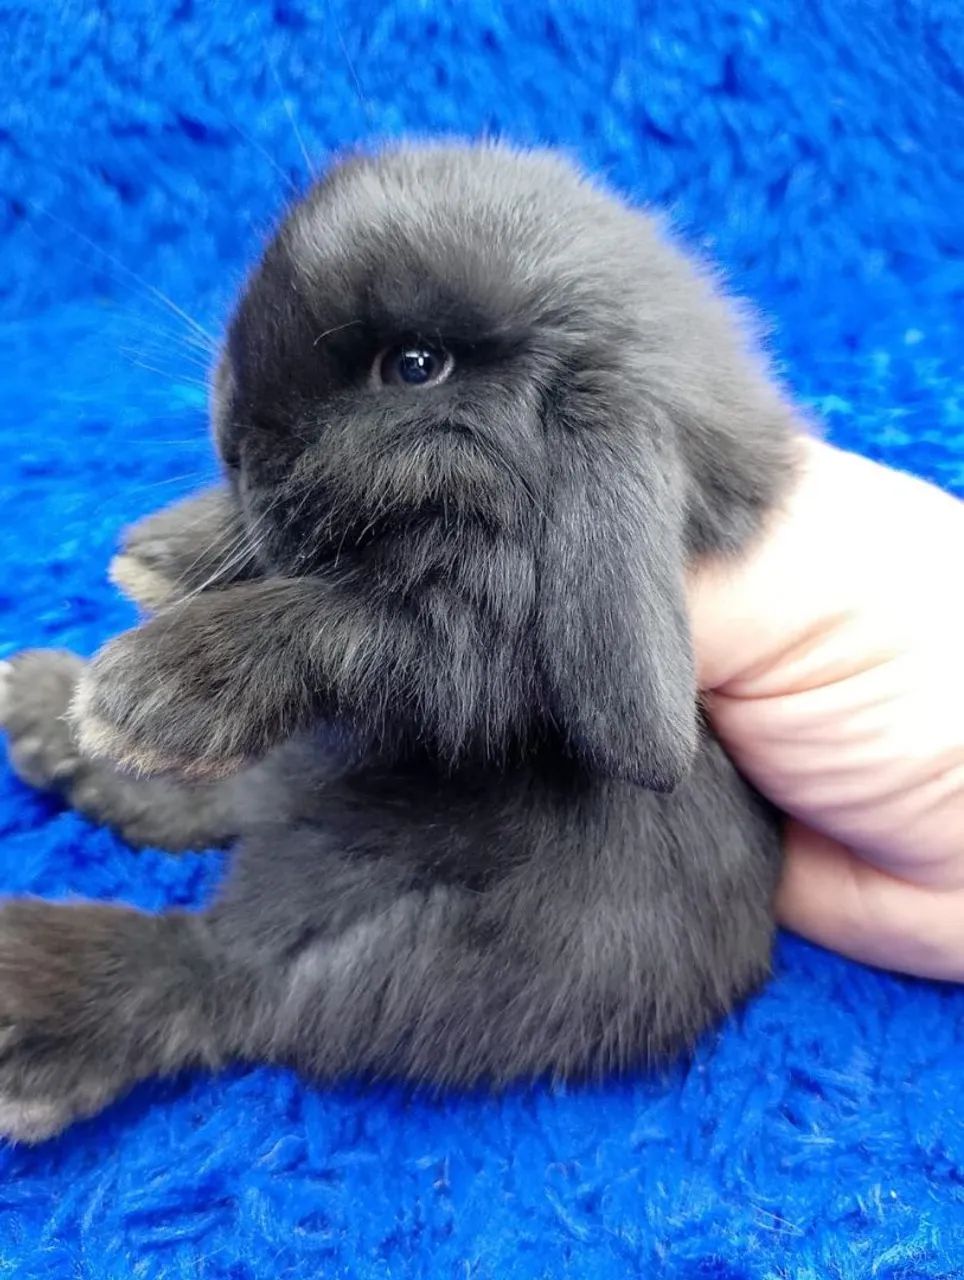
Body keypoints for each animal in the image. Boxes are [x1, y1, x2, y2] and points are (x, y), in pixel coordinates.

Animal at [0, 141, 801, 1142]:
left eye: (416, 365)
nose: (230, 440)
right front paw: (165, 554)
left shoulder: (482, 657)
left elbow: (350, 619)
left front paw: (155, 683)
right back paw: (47, 713)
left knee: (215, 970)